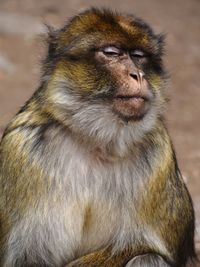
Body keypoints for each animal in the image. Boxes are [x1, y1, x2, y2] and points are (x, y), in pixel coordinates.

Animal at [0, 7, 196, 266]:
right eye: (112, 53)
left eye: (139, 56)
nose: (138, 74)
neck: (97, 140)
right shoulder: (22, 150)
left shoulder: (158, 158)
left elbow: (142, 247)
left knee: (147, 258)